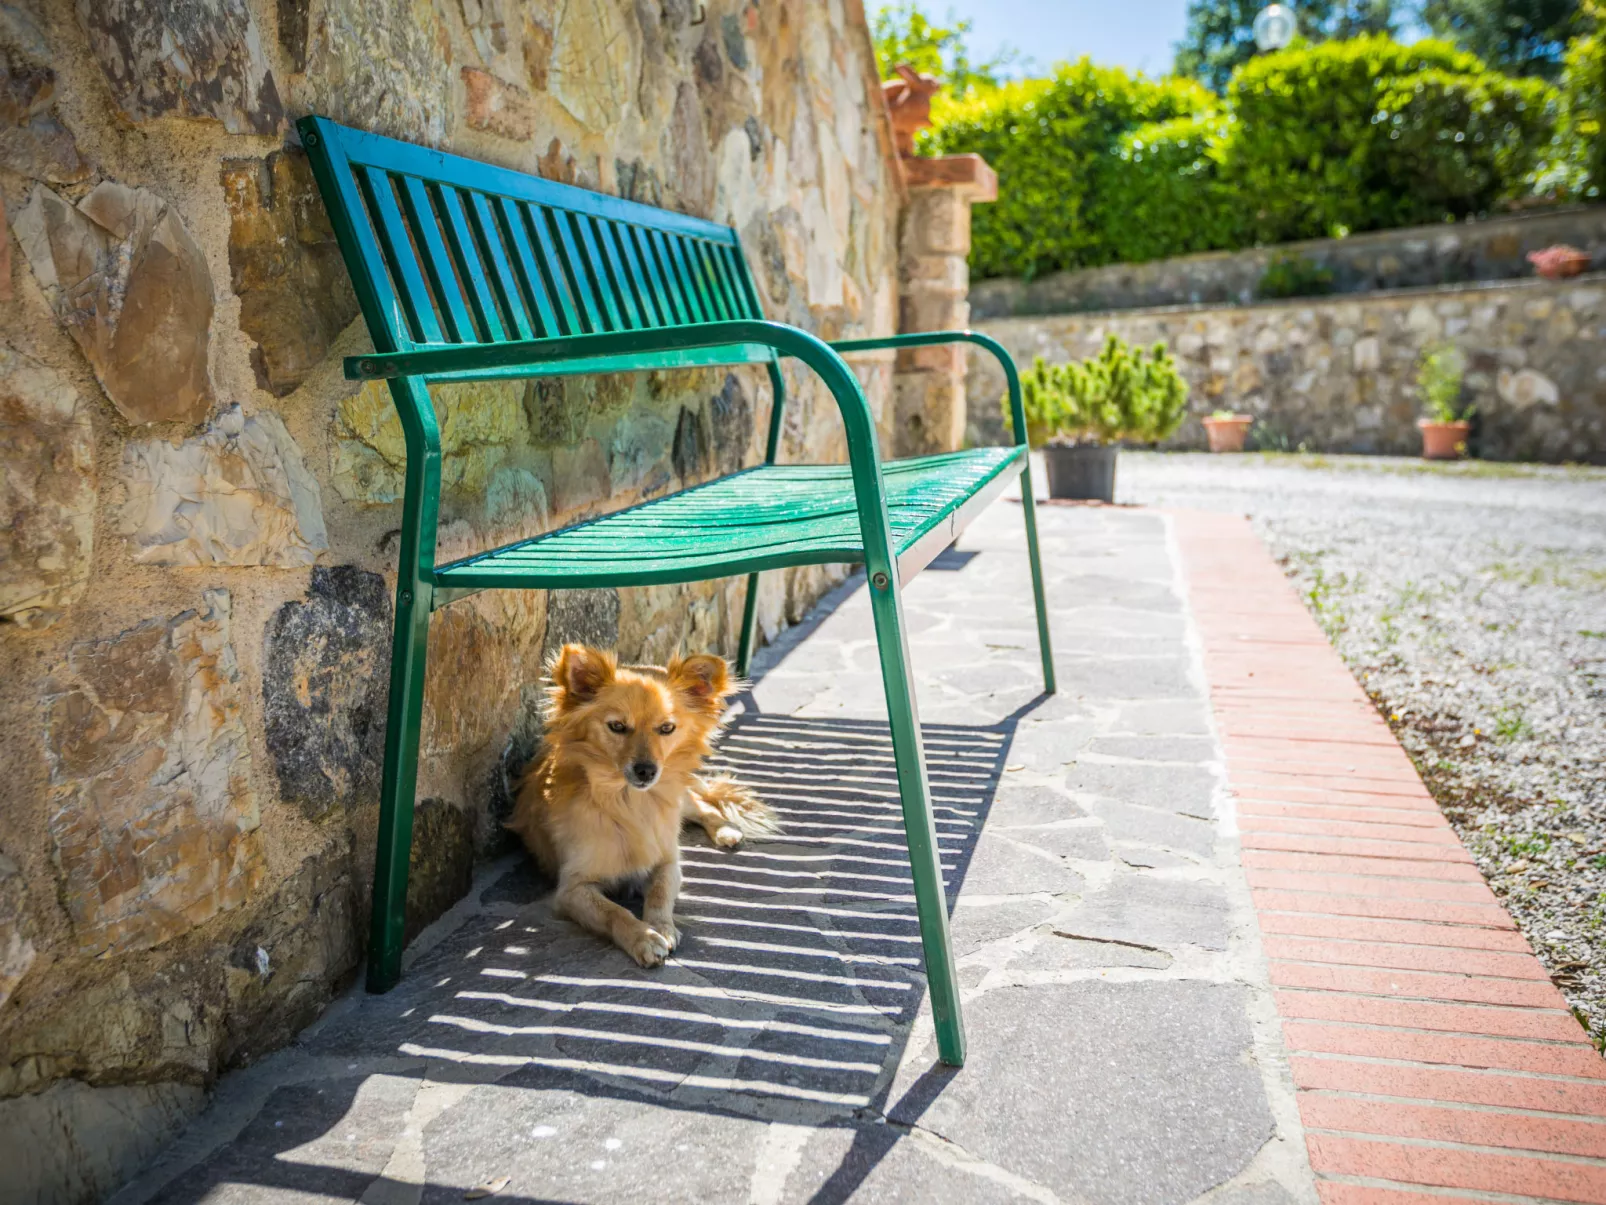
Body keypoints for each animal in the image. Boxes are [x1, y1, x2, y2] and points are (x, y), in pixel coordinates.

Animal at [504, 645, 774, 970]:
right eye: (617, 727)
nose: (646, 770)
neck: (629, 803)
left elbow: (659, 894)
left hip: (680, 795)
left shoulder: (668, 862)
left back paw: (726, 830)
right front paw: (643, 937)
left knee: (702, 805)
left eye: (667, 728)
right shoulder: (573, 889)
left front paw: (660, 927)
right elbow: (613, 912)